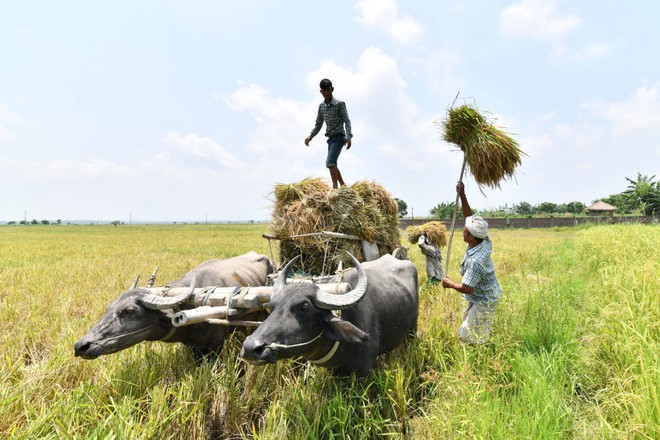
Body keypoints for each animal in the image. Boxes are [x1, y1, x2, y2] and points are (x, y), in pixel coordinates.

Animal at [74, 253, 274, 360]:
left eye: (130, 311)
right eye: (108, 308)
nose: (80, 346)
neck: (194, 304)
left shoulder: (215, 345)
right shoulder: (193, 347)